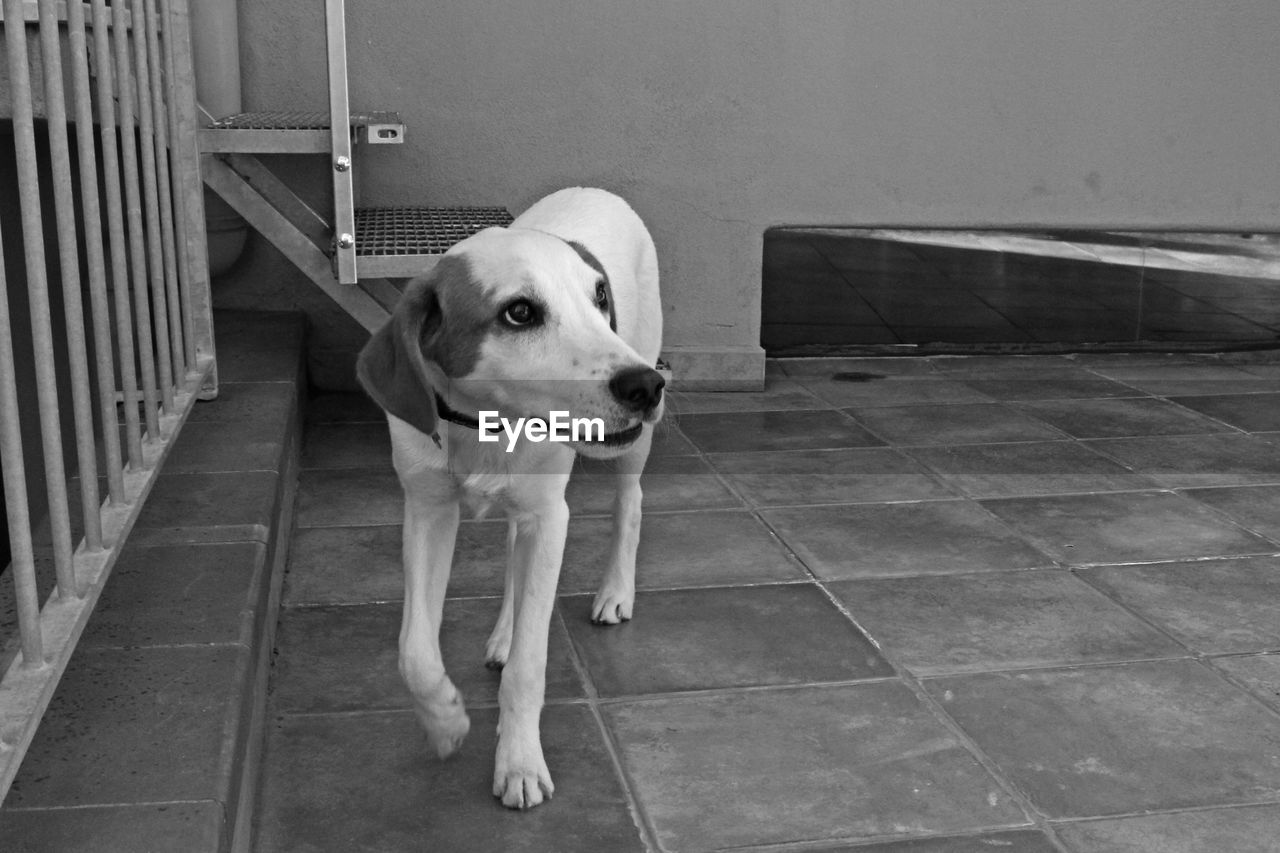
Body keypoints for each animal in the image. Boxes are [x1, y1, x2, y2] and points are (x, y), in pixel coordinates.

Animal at [355, 184, 665, 804]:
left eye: (599, 296)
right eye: (519, 312)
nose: (646, 386)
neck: (487, 424)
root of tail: (597, 189)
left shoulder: (550, 517)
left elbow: (530, 666)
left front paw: (519, 761)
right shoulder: (427, 512)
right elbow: (414, 651)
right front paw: (445, 720)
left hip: (629, 442)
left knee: (630, 505)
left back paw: (615, 593)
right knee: (511, 560)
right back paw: (503, 633)